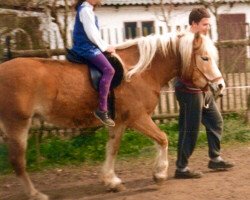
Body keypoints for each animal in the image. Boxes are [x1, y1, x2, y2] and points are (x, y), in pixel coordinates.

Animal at [0, 32, 225, 199]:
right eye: (204, 58)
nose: (220, 85)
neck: (139, 71)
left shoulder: (119, 122)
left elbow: (112, 149)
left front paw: (111, 181)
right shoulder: (137, 118)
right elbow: (162, 138)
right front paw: (160, 174)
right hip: (17, 124)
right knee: (18, 162)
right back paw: (35, 194)